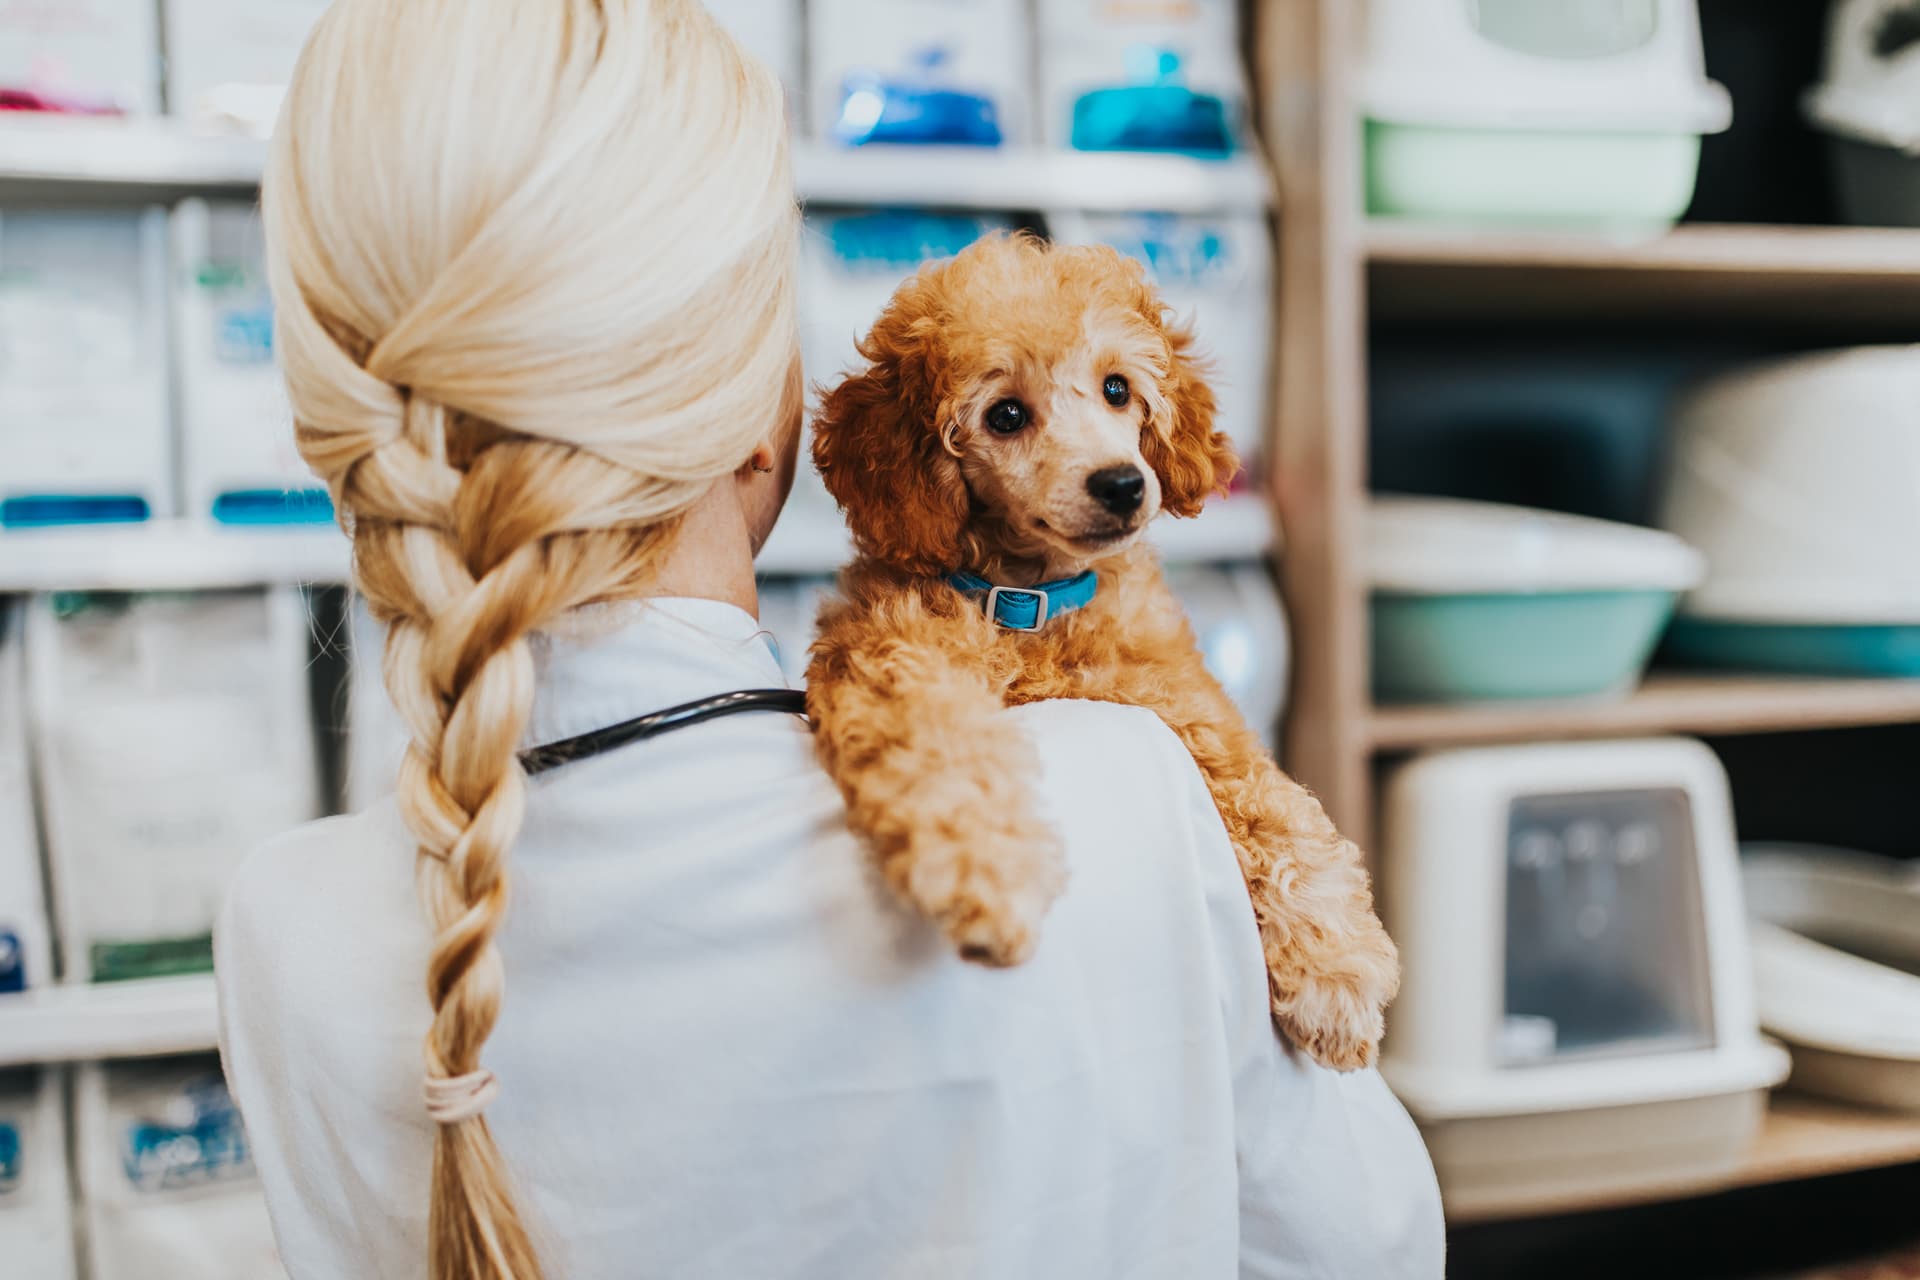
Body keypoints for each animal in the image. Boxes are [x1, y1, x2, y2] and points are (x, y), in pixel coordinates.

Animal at [806, 230, 1397, 1074]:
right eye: (1006, 414)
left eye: (1117, 389)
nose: (1121, 484)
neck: (1034, 605)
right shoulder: (891, 660)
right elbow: (942, 747)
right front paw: (986, 873)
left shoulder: (1182, 704)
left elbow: (1274, 804)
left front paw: (1335, 970)